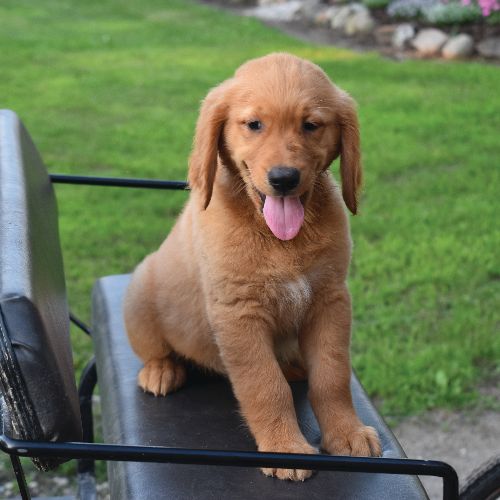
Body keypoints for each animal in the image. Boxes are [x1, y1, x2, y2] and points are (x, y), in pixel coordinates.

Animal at [124, 51, 378, 480]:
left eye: (311, 125)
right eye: (254, 125)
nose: (283, 178)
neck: (281, 240)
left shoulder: (330, 300)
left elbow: (332, 375)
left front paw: (346, 433)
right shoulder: (239, 313)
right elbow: (265, 385)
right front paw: (285, 449)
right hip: (140, 294)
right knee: (157, 351)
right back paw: (161, 371)